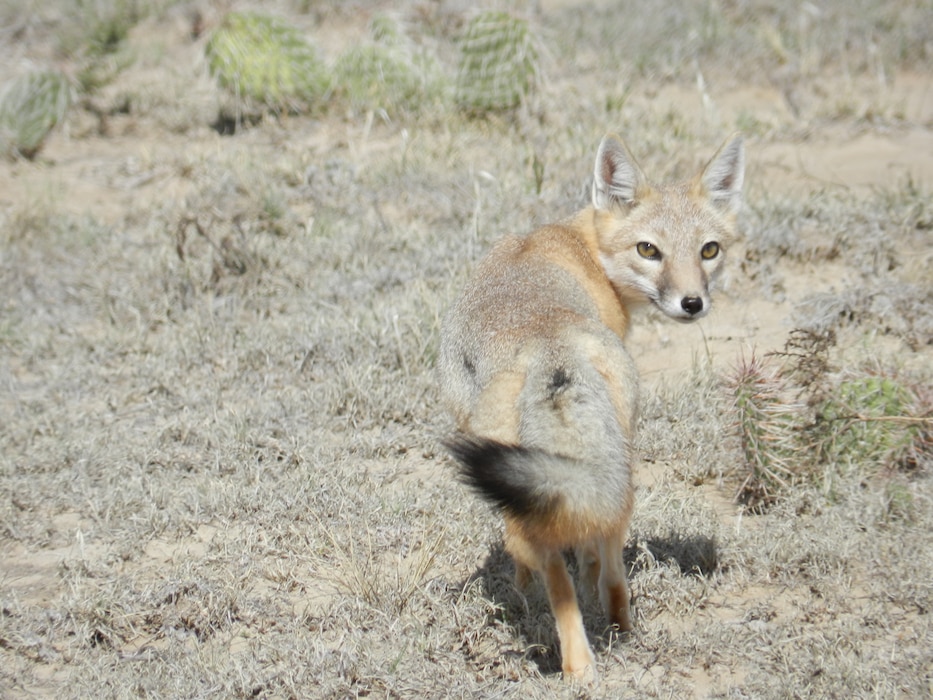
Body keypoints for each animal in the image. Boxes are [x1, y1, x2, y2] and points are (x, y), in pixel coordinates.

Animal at [436, 131, 744, 680]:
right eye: (648, 249)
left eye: (709, 250)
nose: (692, 303)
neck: (581, 244)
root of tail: (550, 348)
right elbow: (590, 554)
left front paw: (523, 596)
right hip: (615, 472)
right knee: (604, 558)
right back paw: (615, 631)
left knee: (554, 565)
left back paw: (579, 661)